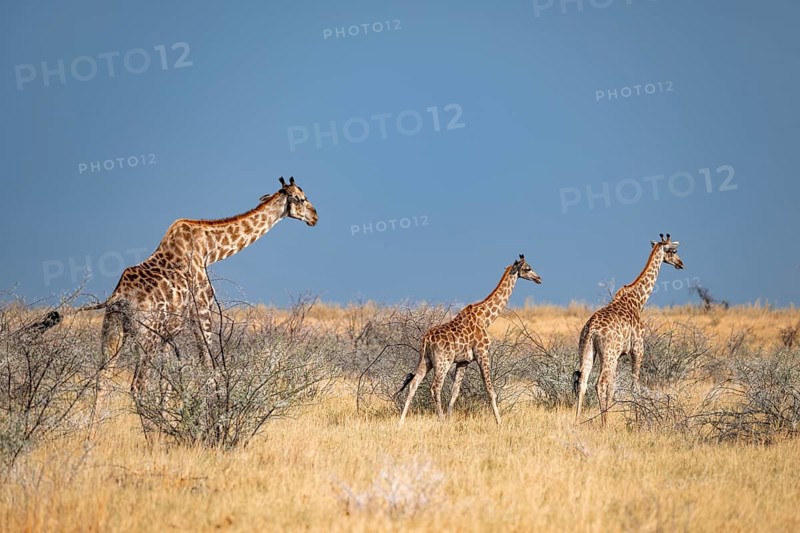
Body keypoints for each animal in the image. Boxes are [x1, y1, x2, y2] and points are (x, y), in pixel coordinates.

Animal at [59, 177, 317, 394]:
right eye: (302, 198)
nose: (315, 216)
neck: (210, 251)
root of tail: (118, 298)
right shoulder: (202, 312)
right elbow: (208, 369)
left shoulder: (168, 334)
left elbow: (166, 384)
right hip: (146, 337)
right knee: (137, 386)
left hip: (112, 330)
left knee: (101, 380)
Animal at [397, 254, 542, 426]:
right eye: (528, 268)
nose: (539, 278)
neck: (486, 318)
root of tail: (426, 340)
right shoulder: (482, 354)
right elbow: (490, 390)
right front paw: (499, 422)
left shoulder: (463, 361)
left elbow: (455, 392)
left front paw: (450, 419)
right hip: (443, 362)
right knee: (435, 387)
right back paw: (440, 420)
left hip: (426, 360)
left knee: (413, 384)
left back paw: (401, 423)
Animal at [572, 233, 684, 426]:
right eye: (673, 251)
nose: (681, 264)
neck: (638, 300)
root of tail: (591, 329)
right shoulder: (637, 348)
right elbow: (634, 384)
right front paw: (638, 418)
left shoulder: (619, 354)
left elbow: (614, 385)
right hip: (608, 353)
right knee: (599, 383)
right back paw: (604, 423)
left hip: (587, 350)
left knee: (583, 381)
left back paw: (578, 420)